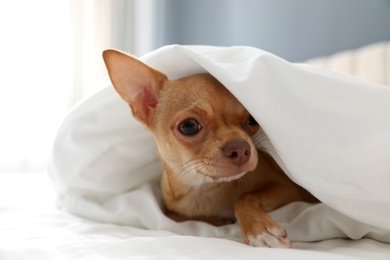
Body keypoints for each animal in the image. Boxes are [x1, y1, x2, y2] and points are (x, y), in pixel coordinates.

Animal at [102, 49, 316, 248]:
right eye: (189, 126)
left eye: (252, 119)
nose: (240, 148)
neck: (202, 190)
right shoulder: (170, 209)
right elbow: (172, 215)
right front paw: (220, 221)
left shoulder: (288, 188)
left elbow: (245, 197)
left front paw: (259, 230)